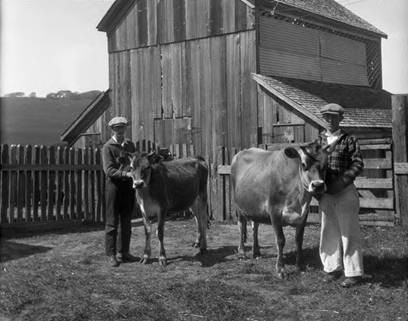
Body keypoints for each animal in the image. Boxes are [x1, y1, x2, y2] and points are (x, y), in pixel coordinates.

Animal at [231, 142, 330, 278]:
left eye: (326, 165)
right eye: (303, 164)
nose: (318, 185)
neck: (299, 200)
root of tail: (242, 151)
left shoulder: (304, 214)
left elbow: (299, 239)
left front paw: (300, 266)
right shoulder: (274, 211)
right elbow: (280, 240)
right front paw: (280, 269)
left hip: (255, 208)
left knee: (255, 226)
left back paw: (256, 251)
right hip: (239, 206)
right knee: (241, 225)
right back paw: (241, 252)